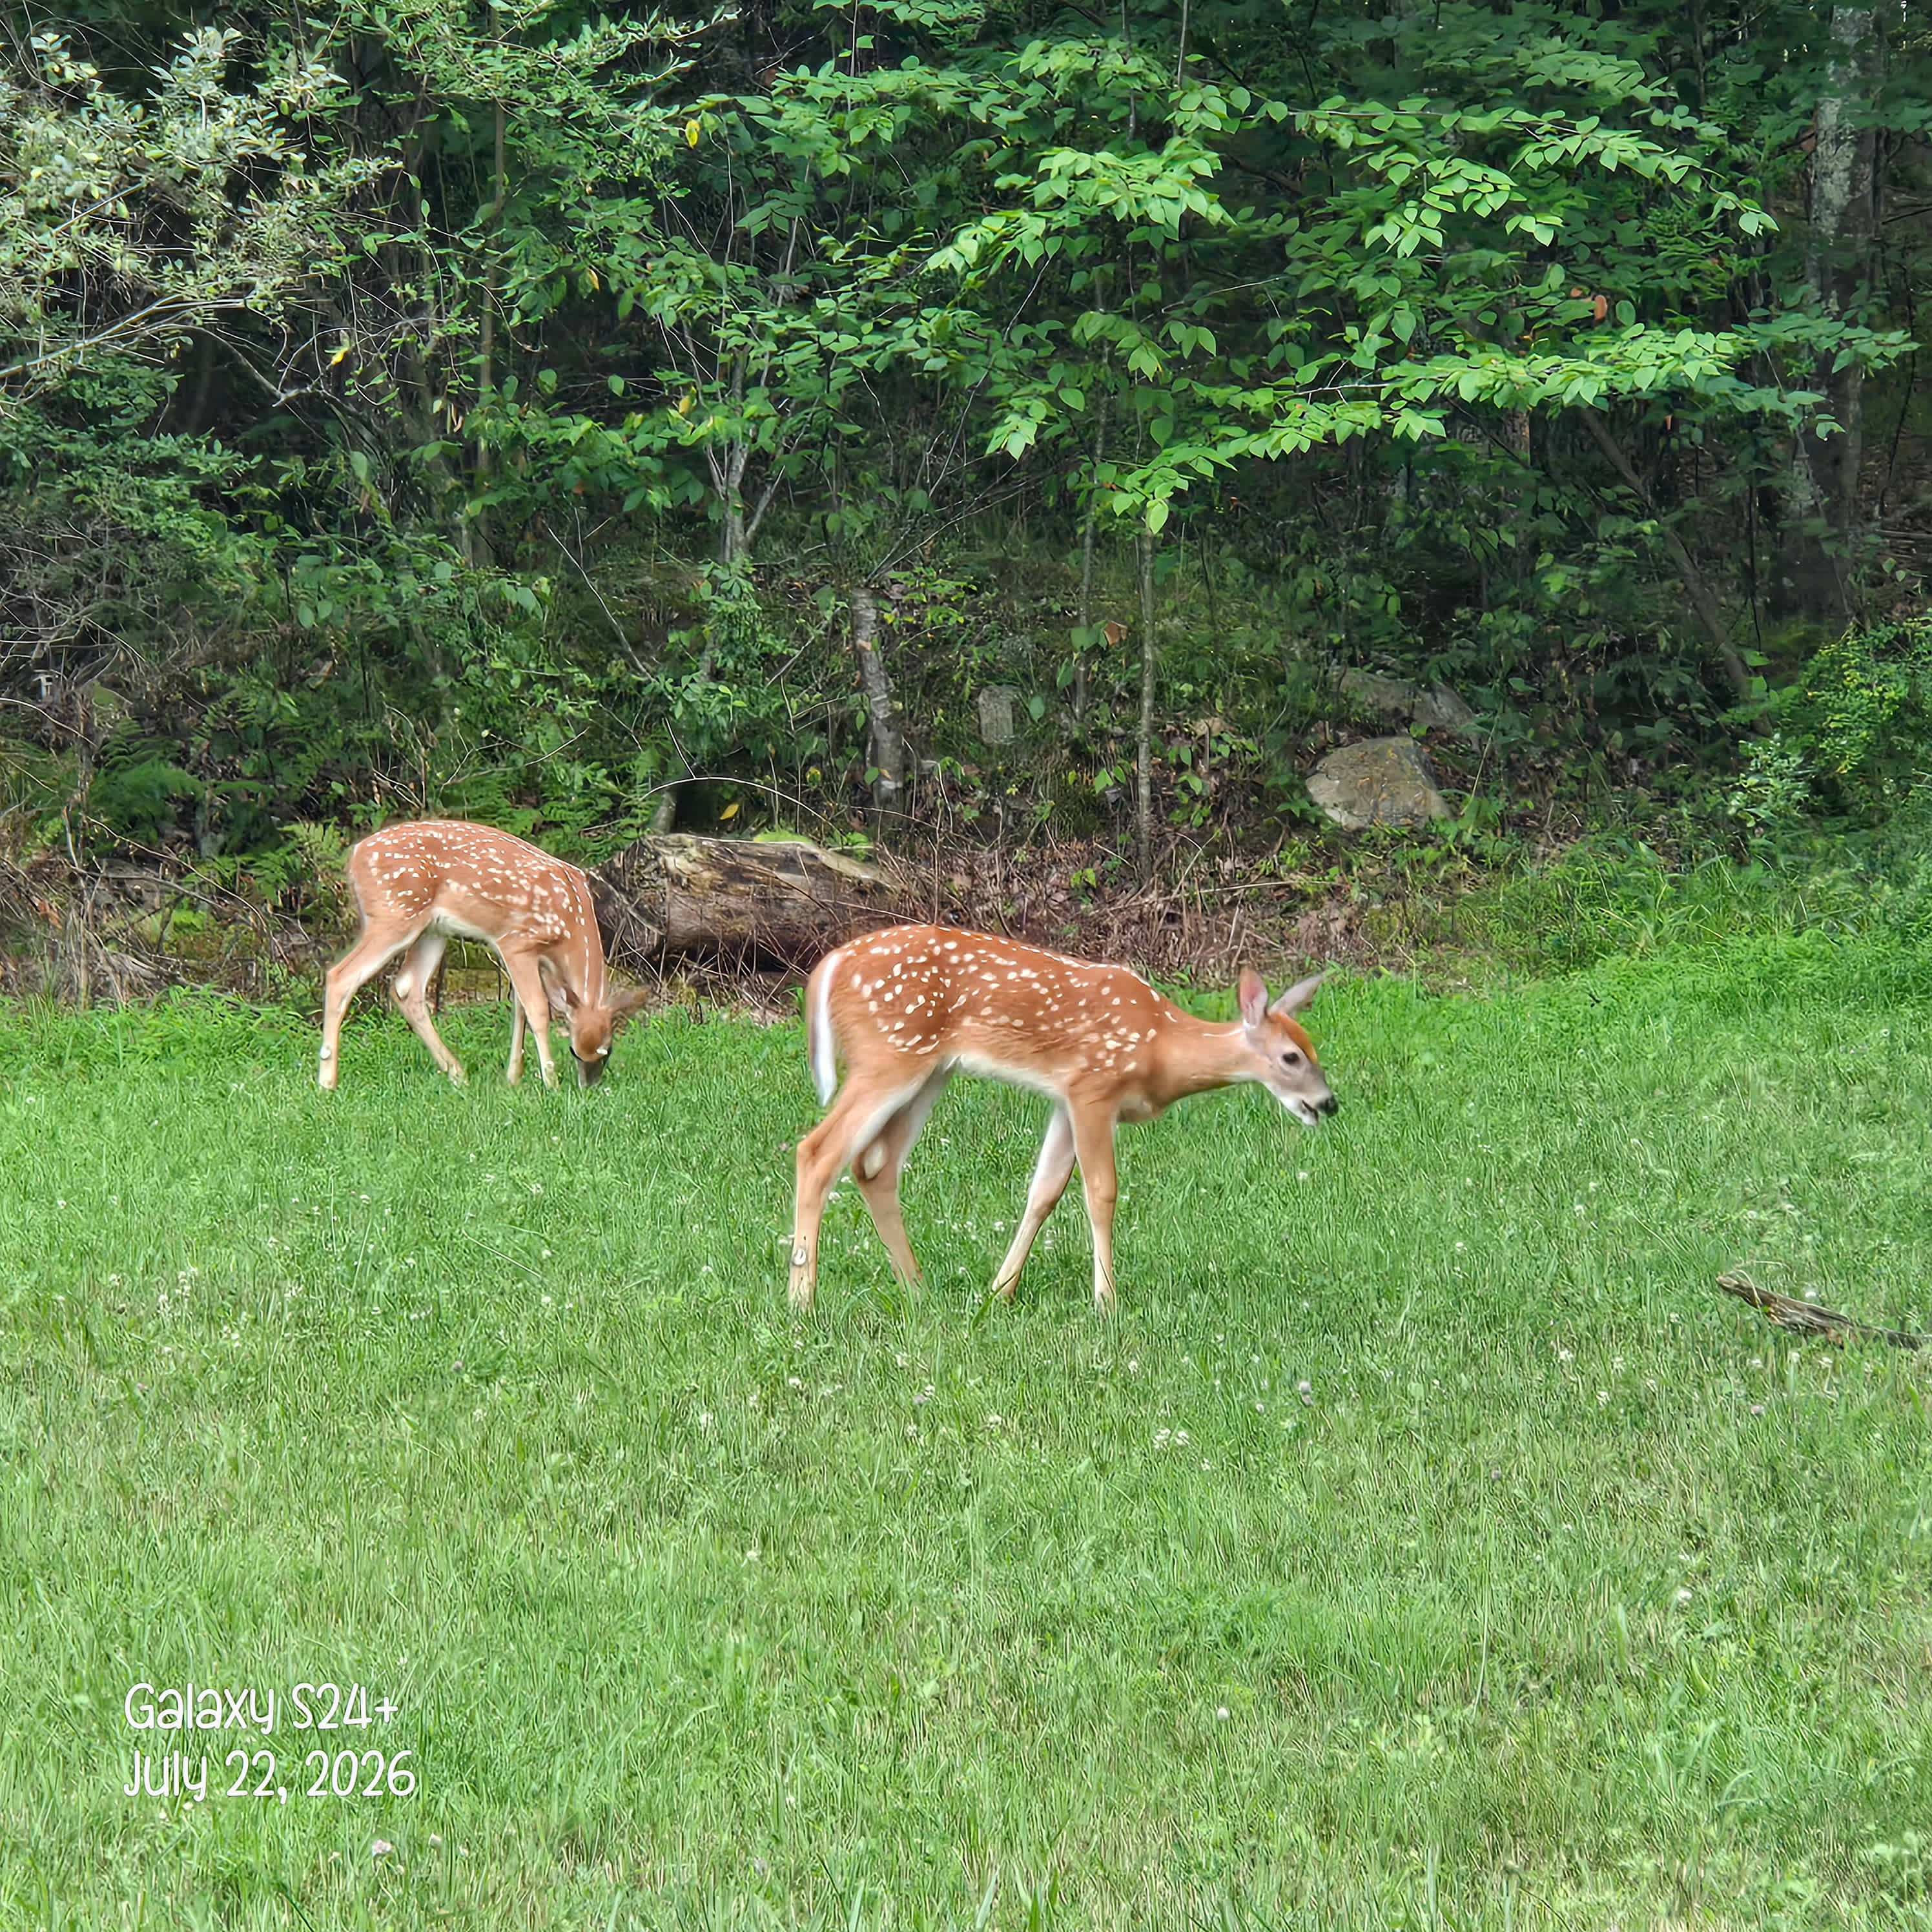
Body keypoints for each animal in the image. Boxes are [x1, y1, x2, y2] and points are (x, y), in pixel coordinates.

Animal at [317, 820, 650, 1092]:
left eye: (608, 1050)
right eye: (573, 1050)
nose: (588, 1087)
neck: (569, 927)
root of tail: (355, 855)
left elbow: (519, 1009)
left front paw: (514, 1078)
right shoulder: (516, 941)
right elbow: (538, 1010)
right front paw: (551, 1082)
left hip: (432, 930)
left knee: (406, 988)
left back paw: (457, 1073)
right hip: (395, 914)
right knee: (341, 975)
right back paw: (327, 1082)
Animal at [787, 924, 1337, 1313]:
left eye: (1315, 1050)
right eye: (1291, 1057)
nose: (1329, 1102)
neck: (1161, 1046)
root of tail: (829, 965)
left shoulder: (1063, 1099)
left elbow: (1045, 1191)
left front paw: (1000, 1291)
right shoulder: (1093, 1086)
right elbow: (1102, 1192)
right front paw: (1107, 1301)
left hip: (930, 1071)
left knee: (874, 1166)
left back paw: (918, 1290)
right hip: (889, 1054)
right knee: (818, 1151)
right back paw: (802, 1302)